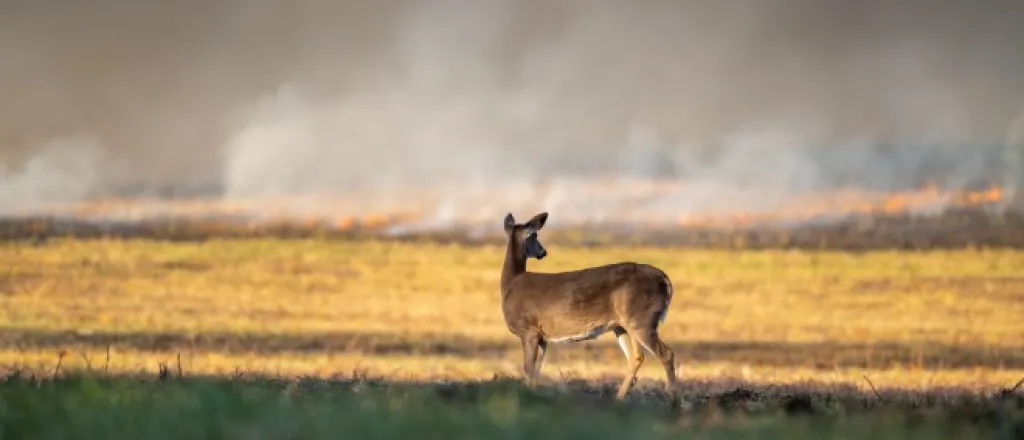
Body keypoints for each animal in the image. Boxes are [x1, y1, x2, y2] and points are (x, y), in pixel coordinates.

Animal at [497, 211, 679, 403]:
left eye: (535, 234)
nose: (543, 252)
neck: (510, 284)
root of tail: (666, 280)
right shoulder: (541, 337)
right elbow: (535, 371)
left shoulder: (529, 330)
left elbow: (528, 370)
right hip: (624, 324)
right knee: (636, 356)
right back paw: (619, 399)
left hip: (642, 318)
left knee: (666, 353)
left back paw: (673, 399)